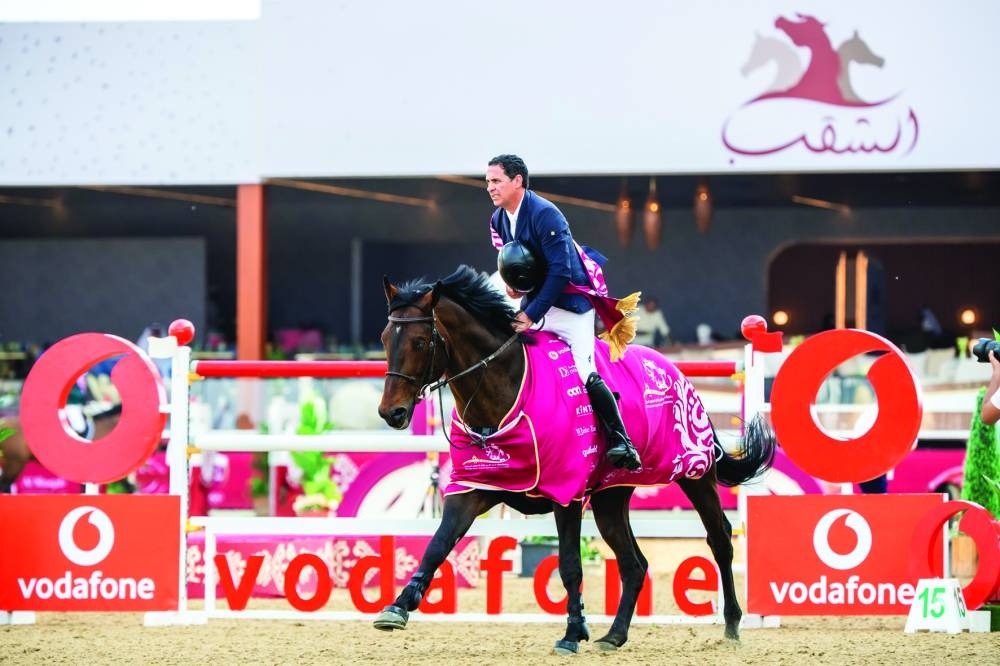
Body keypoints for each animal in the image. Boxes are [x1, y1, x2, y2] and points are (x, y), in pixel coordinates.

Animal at [373, 265, 776, 653]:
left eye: (420, 341)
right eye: (384, 339)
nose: (391, 413)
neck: (505, 390)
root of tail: (675, 371)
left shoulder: (565, 494)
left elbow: (570, 565)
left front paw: (572, 633)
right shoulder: (474, 487)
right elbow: (437, 545)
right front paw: (397, 608)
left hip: (695, 474)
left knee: (719, 539)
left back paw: (732, 625)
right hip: (611, 496)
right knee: (634, 564)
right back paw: (614, 635)